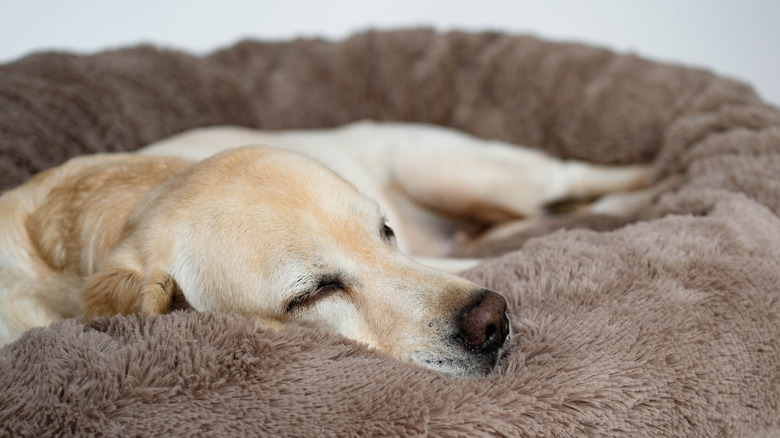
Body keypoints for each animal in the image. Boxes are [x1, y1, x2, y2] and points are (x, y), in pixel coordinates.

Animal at [0, 120, 648, 376]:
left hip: (466, 171)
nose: (493, 321)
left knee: (582, 180)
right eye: (312, 293)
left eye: (384, 231)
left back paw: (651, 183)